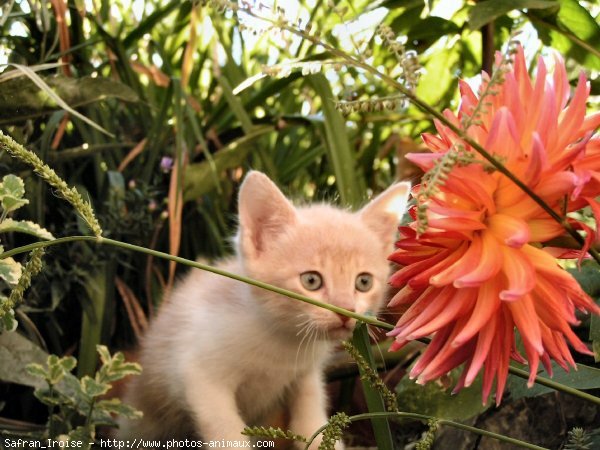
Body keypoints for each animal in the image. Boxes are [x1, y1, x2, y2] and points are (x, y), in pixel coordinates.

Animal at [120, 171, 412, 448]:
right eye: (311, 281)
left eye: (363, 282)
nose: (345, 311)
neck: (281, 342)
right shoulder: (198, 374)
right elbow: (226, 431)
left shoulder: (305, 373)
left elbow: (311, 412)